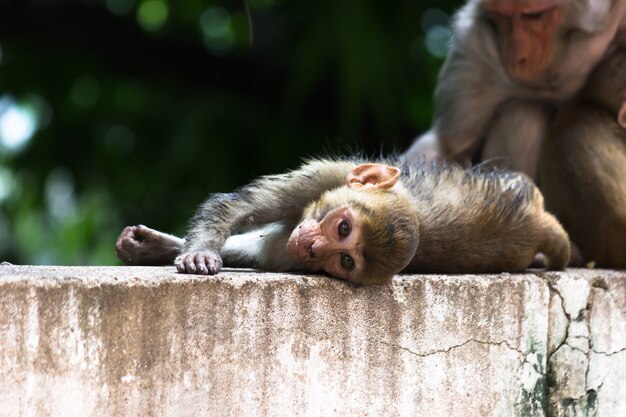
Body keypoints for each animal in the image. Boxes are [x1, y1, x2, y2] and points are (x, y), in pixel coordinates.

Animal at [114, 158, 568, 284]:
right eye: (343, 228)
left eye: (345, 260)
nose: (315, 247)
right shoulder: (329, 174)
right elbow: (234, 207)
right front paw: (198, 252)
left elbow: (265, 251)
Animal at [402, 0, 624, 177]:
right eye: (502, 16)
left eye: (534, 15)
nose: (516, 58)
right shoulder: (474, 47)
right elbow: (448, 148)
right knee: (523, 115)